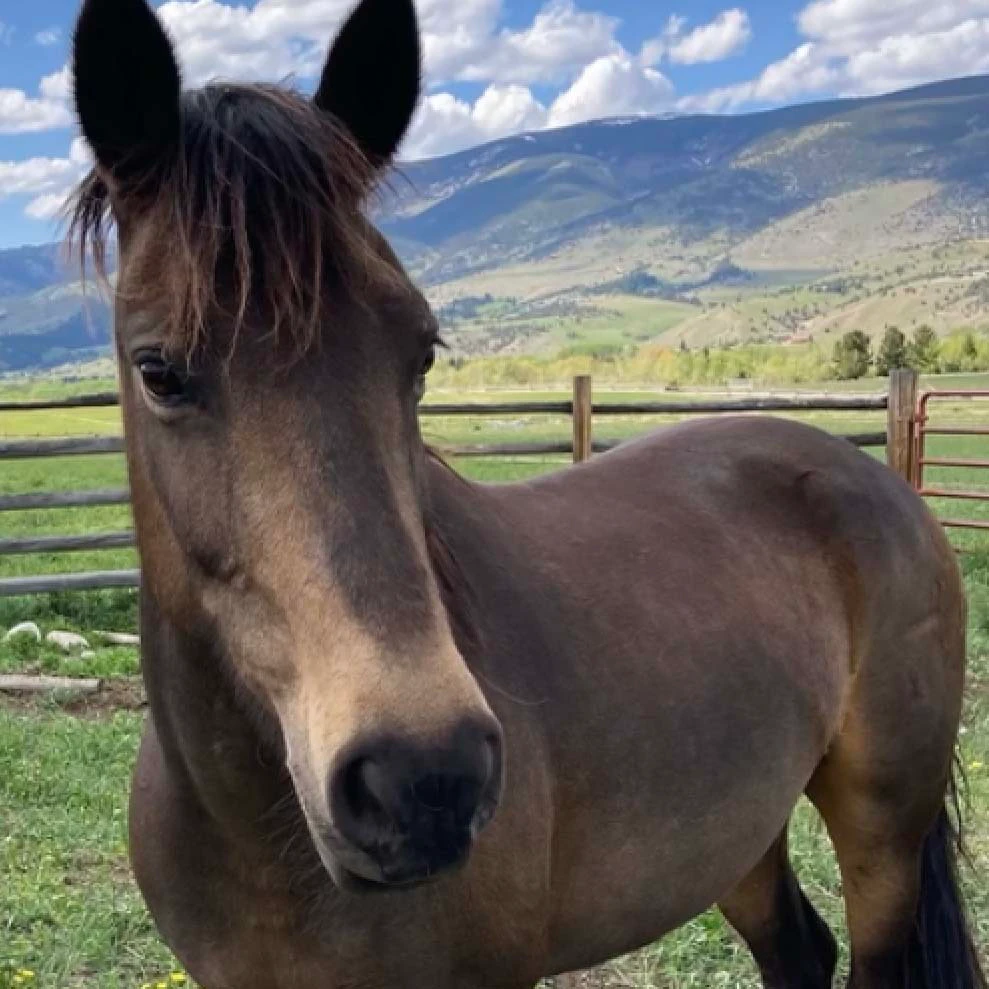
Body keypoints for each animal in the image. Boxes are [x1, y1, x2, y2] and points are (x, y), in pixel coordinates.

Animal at [68, 0, 984, 986]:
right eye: (158, 370)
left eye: (420, 352)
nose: (421, 779)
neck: (260, 842)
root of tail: (875, 482)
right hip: (734, 833)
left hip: (882, 834)